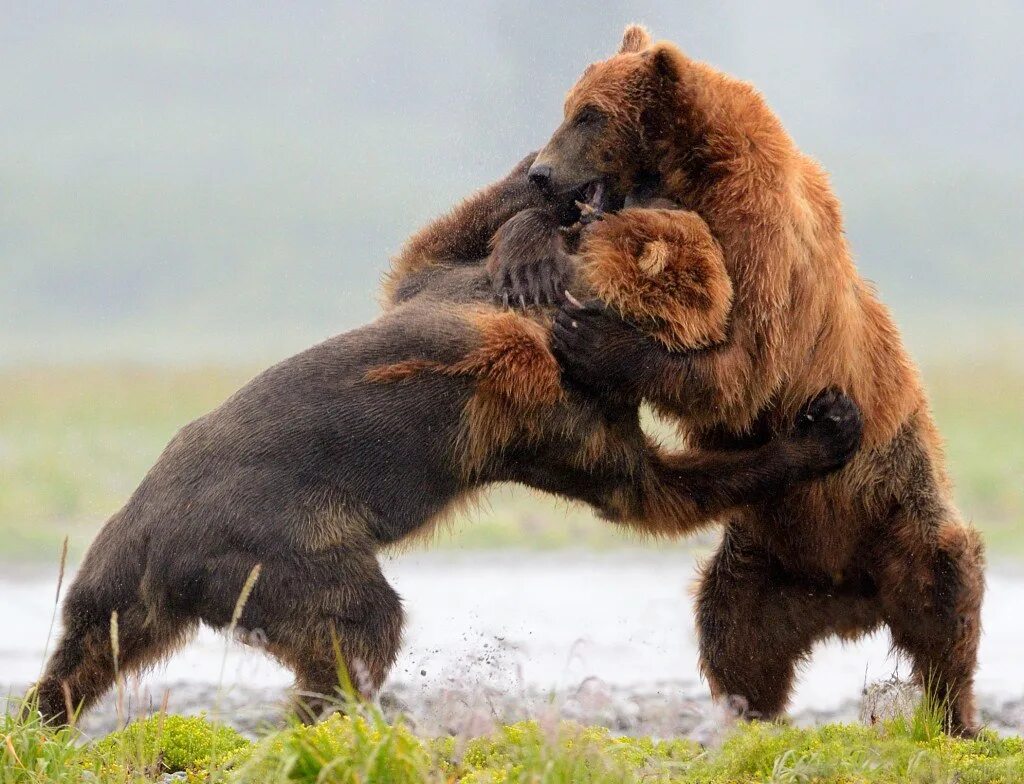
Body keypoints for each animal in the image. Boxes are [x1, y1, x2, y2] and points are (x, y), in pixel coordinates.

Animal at [36, 156, 860, 728]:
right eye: (725, 294)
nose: (746, 336)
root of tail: (158, 548)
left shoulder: (446, 286)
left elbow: (431, 244)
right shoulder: (548, 409)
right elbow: (644, 489)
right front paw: (823, 429)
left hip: (112, 571)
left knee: (84, 656)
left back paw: (46, 721)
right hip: (276, 550)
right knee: (358, 627)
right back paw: (325, 719)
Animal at [512, 24, 983, 736]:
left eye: (588, 115)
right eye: (569, 105)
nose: (541, 172)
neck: (689, 173)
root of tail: (848, 598)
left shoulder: (758, 239)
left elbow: (741, 366)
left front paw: (594, 336)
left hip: (898, 505)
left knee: (945, 591)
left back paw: (953, 715)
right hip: (762, 557)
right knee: (733, 630)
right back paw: (751, 715)